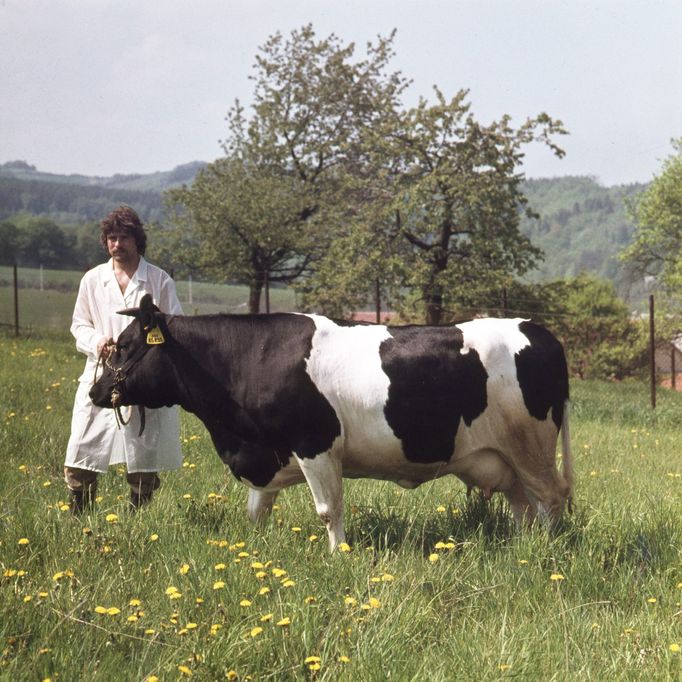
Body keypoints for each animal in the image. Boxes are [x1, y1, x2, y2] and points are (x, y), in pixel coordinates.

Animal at [87, 294, 572, 548]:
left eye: (126, 345)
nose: (95, 392)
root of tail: (538, 329)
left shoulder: (316, 444)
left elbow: (328, 508)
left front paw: (339, 554)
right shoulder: (266, 455)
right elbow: (257, 510)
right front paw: (253, 551)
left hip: (532, 447)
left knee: (551, 499)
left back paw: (545, 556)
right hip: (505, 459)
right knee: (524, 506)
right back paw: (524, 549)